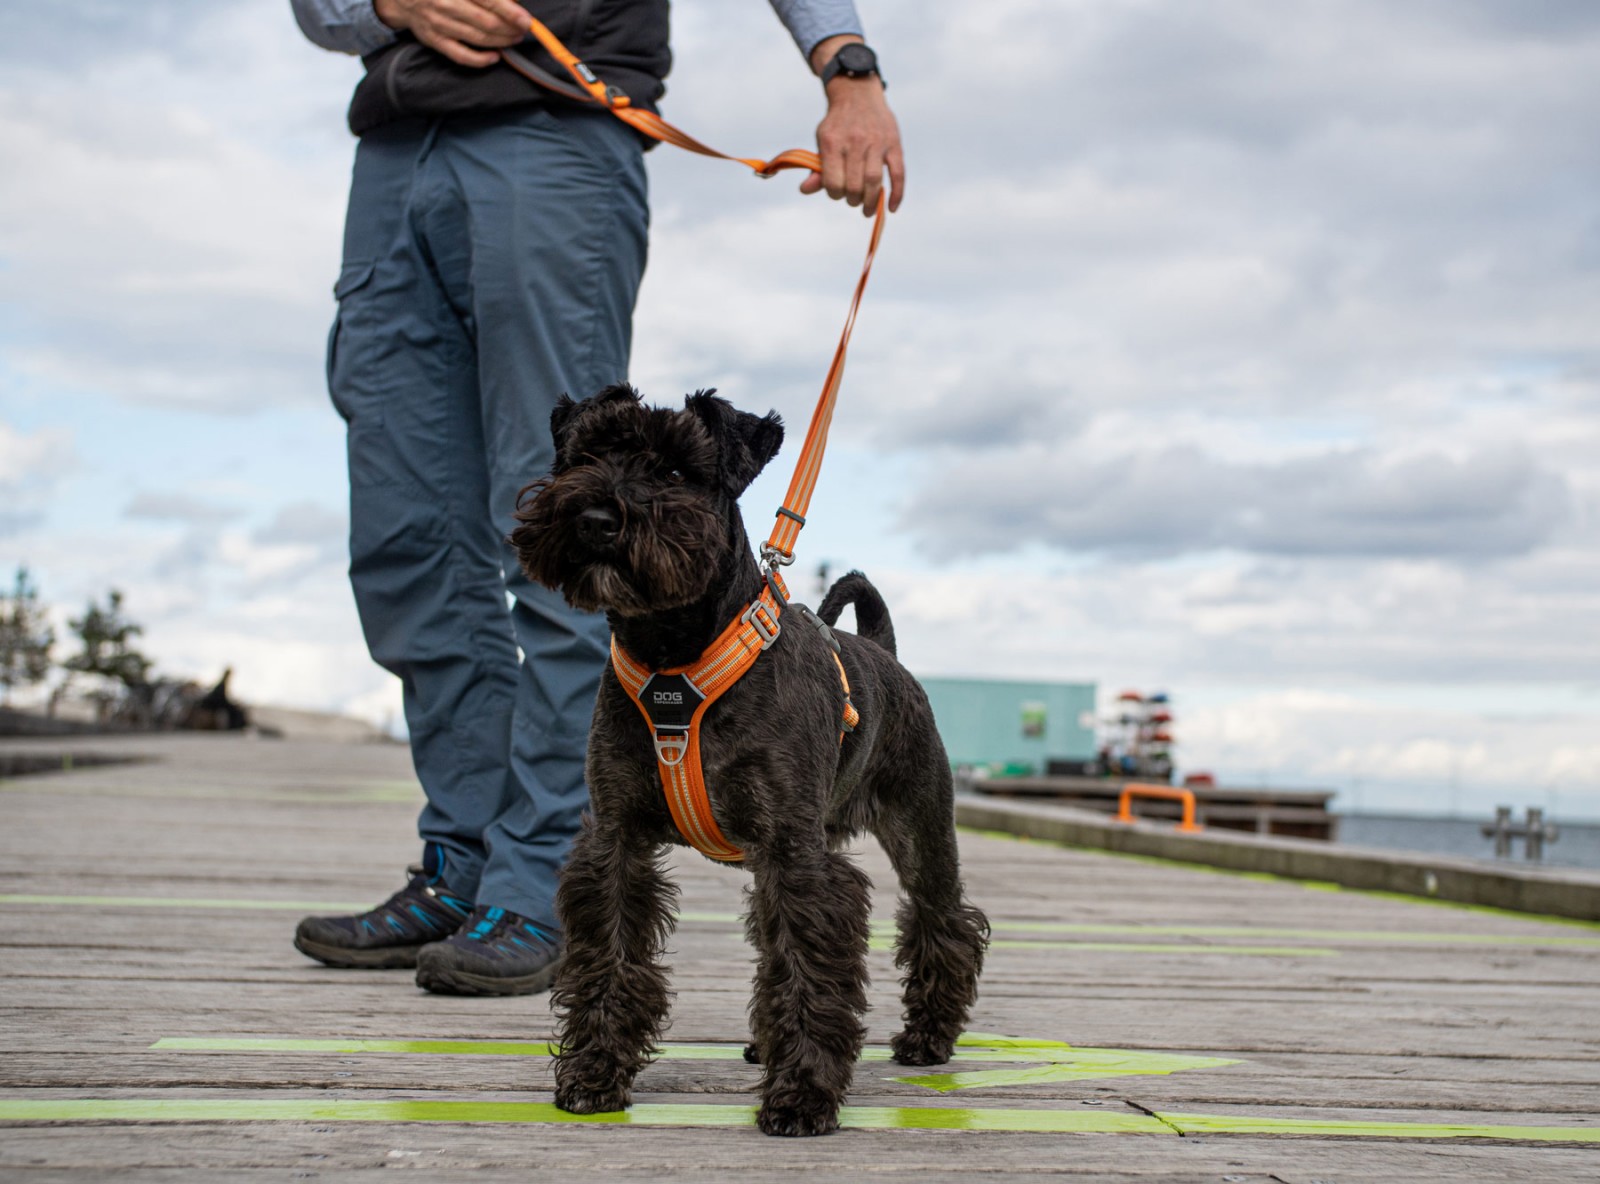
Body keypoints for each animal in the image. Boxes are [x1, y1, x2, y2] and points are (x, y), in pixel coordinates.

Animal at [512, 384, 985, 1132]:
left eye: (678, 471)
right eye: (585, 455)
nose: (595, 519)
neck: (674, 658)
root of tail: (883, 650)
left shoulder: (799, 857)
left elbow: (811, 968)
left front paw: (802, 1095)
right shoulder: (616, 841)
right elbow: (611, 957)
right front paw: (593, 1072)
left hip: (922, 834)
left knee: (944, 924)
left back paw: (927, 1038)